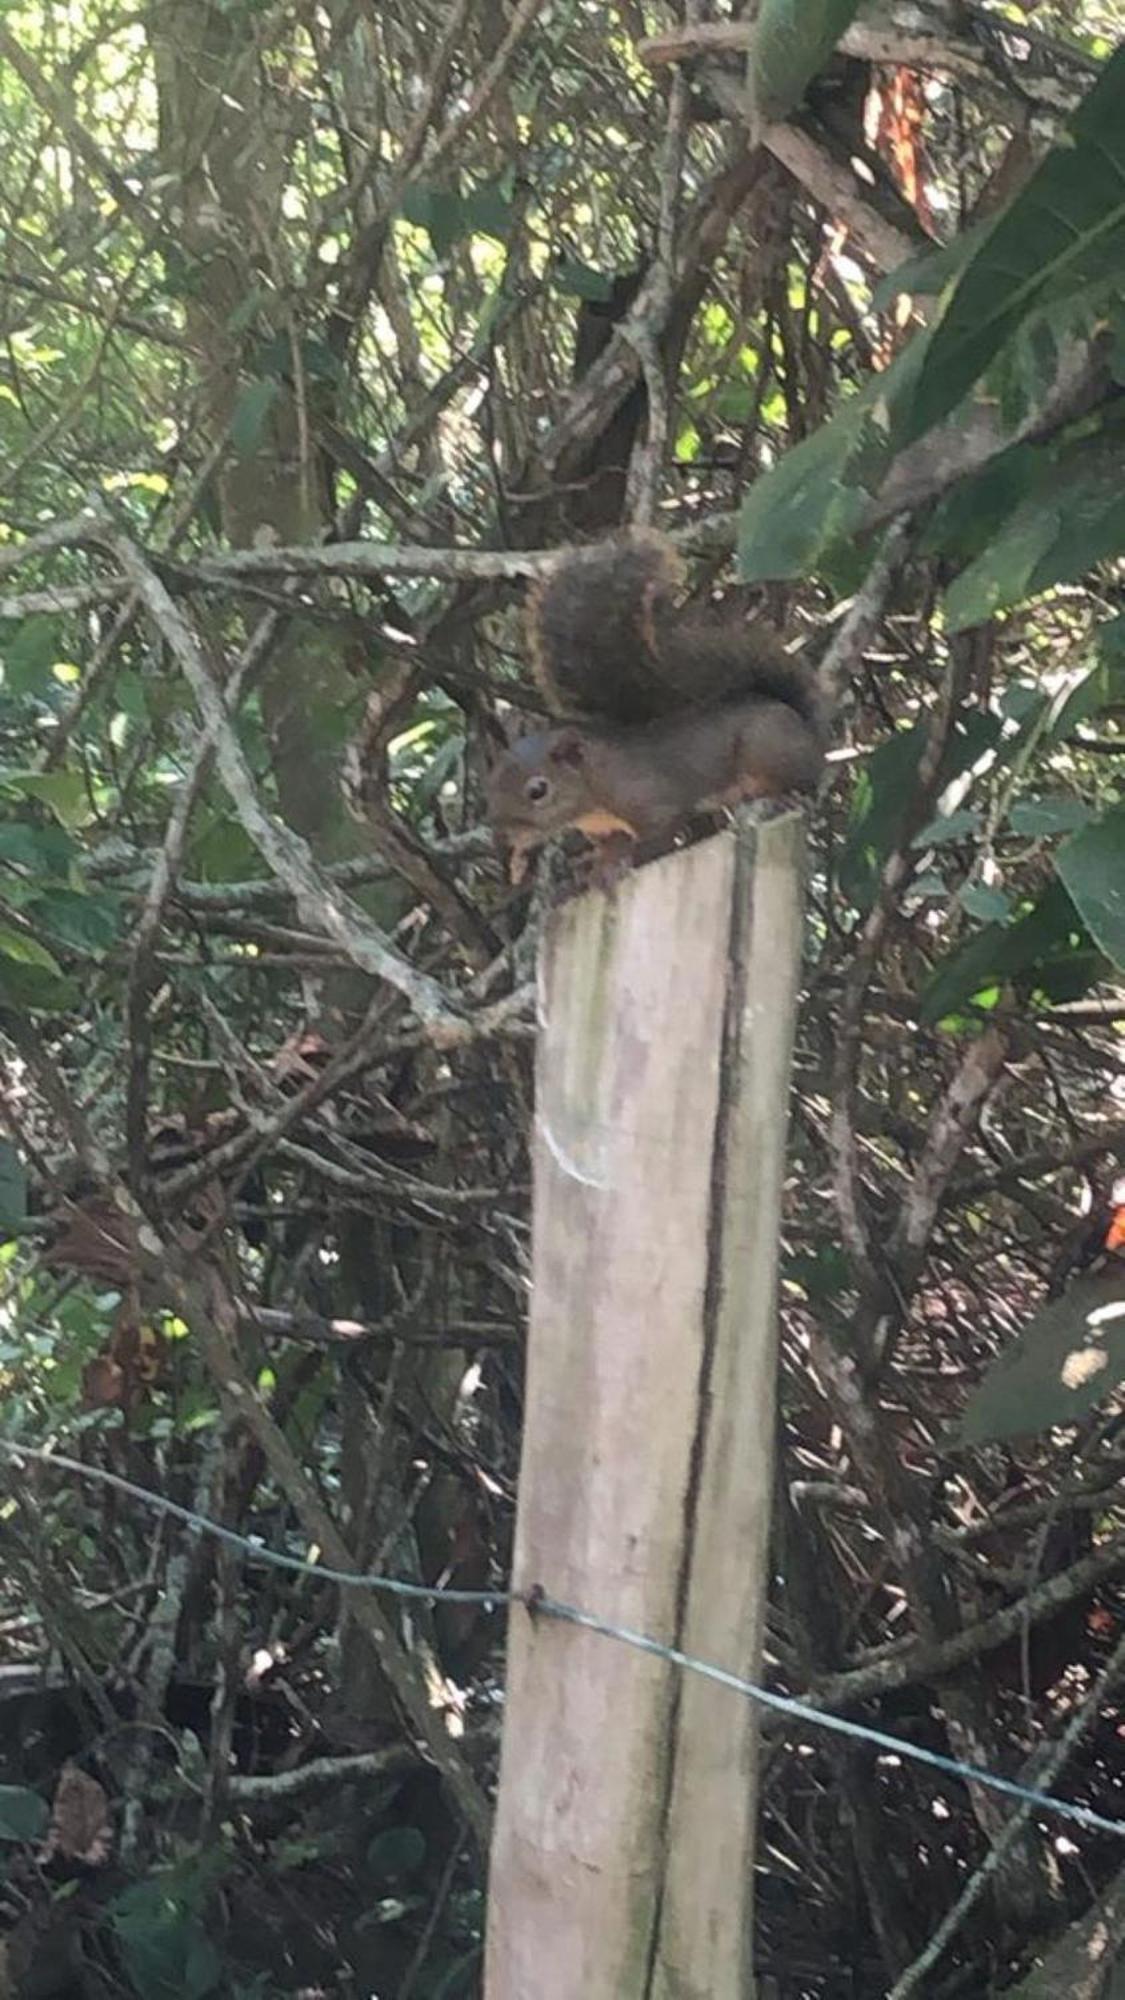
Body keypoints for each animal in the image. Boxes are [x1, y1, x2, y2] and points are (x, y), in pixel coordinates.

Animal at [482, 532, 824, 884]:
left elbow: (659, 837)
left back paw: (779, 794)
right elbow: (613, 847)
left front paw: (628, 862)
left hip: (766, 748)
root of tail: (812, 736)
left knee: (801, 782)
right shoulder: (610, 830)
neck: (596, 793)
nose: (502, 838)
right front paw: (599, 868)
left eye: (538, 790)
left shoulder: (654, 801)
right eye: (490, 783)